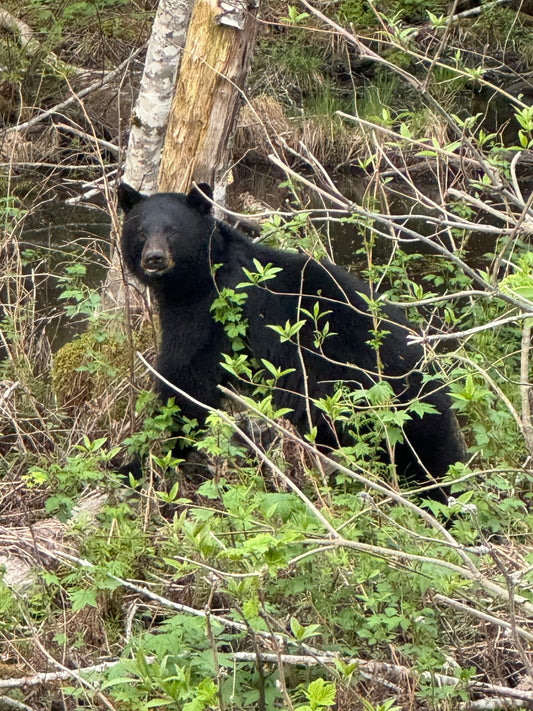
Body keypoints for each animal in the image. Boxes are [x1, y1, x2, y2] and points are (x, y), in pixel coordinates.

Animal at [117, 182, 466, 489]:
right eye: (141, 231)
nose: (154, 258)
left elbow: (186, 383)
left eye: (173, 230)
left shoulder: (208, 316)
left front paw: (142, 460)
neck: (199, 277)